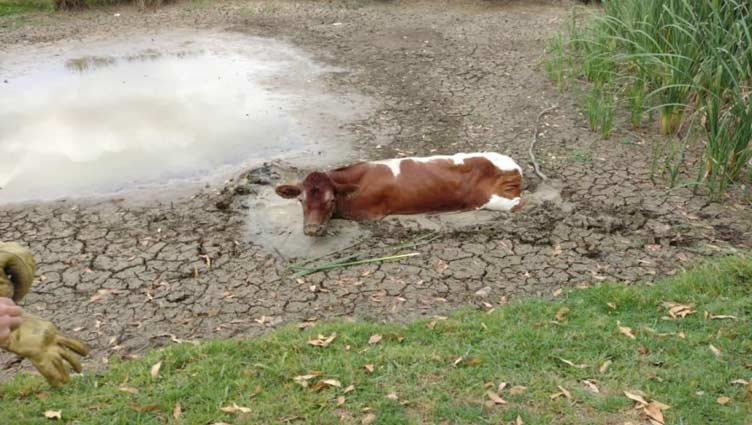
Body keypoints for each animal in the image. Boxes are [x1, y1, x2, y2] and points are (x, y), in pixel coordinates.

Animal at [274, 152, 524, 235]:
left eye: (331, 199)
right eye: (300, 199)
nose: (312, 230)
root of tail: (514, 166)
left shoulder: (368, 214)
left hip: (495, 199)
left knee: (519, 203)